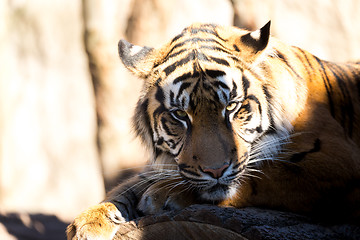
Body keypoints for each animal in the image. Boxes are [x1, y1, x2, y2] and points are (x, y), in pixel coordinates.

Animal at [66, 21, 360, 239]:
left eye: (231, 106)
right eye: (180, 114)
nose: (216, 170)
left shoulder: (334, 160)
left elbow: (266, 172)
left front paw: (165, 195)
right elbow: (125, 189)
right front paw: (88, 222)